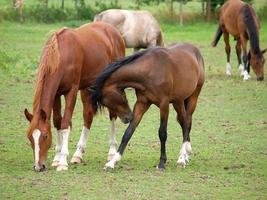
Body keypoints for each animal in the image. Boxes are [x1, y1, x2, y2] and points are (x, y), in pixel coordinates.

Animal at [23, 21, 125, 172]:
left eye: (45, 136)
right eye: (30, 137)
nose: (38, 166)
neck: (62, 54)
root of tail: (114, 32)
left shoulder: (71, 91)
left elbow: (65, 122)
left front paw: (62, 161)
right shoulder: (56, 94)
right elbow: (57, 121)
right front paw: (57, 157)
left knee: (112, 114)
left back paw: (111, 152)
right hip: (87, 88)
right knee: (88, 116)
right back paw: (78, 154)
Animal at [91, 42, 206, 170]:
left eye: (110, 100)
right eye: (105, 104)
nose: (127, 118)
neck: (150, 71)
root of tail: (194, 50)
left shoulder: (164, 104)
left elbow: (162, 133)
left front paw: (161, 163)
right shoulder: (142, 103)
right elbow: (128, 133)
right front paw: (112, 162)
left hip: (193, 98)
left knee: (187, 123)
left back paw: (182, 157)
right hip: (178, 101)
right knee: (183, 122)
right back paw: (185, 155)